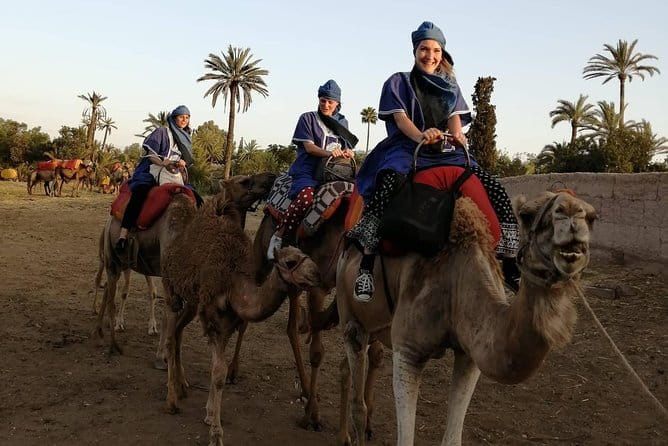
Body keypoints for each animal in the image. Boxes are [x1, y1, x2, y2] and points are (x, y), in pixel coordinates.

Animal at [160, 186, 321, 446]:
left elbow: (218, 370)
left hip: (193, 303)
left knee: (177, 334)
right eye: (290, 261)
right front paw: (216, 434)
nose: (316, 275)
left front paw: (209, 414)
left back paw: (182, 387)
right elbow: (218, 373)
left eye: (306, 255)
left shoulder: (228, 323)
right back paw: (171, 400)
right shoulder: (214, 320)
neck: (235, 282)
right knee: (170, 334)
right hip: (171, 290)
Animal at [335, 191, 596, 446]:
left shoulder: (470, 354)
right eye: (526, 215)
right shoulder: (408, 350)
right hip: (350, 314)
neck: (457, 279)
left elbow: (453, 438)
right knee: (357, 395)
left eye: (592, 218)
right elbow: (405, 439)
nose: (571, 214)